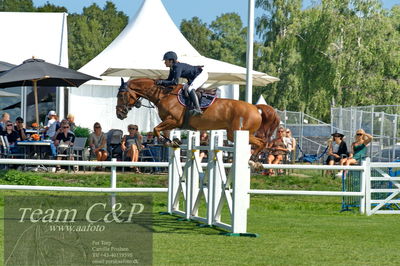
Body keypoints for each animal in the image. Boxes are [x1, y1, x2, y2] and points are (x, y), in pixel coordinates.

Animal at [114, 78, 280, 159]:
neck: (164, 95)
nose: (119, 114)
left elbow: (156, 129)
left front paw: (165, 141)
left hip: (239, 133)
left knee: (262, 142)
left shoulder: (174, 120)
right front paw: (173, 141)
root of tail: (255, 108)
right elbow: (160, 130)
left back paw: (253, 159)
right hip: (235, 134)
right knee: (261, 142)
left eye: (121, 95)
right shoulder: (170, 123)